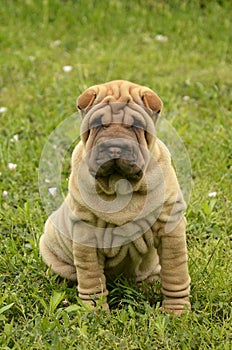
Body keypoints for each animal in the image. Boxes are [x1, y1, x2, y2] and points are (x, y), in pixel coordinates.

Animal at [40, 80, 191, 316]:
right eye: (98, 124)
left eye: (136, 125)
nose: (114, 147)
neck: (120, 184)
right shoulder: (86, 233)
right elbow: (91, 278)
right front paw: (96, 313)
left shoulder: (170, 225)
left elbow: (176, 273)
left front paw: (177, 313)